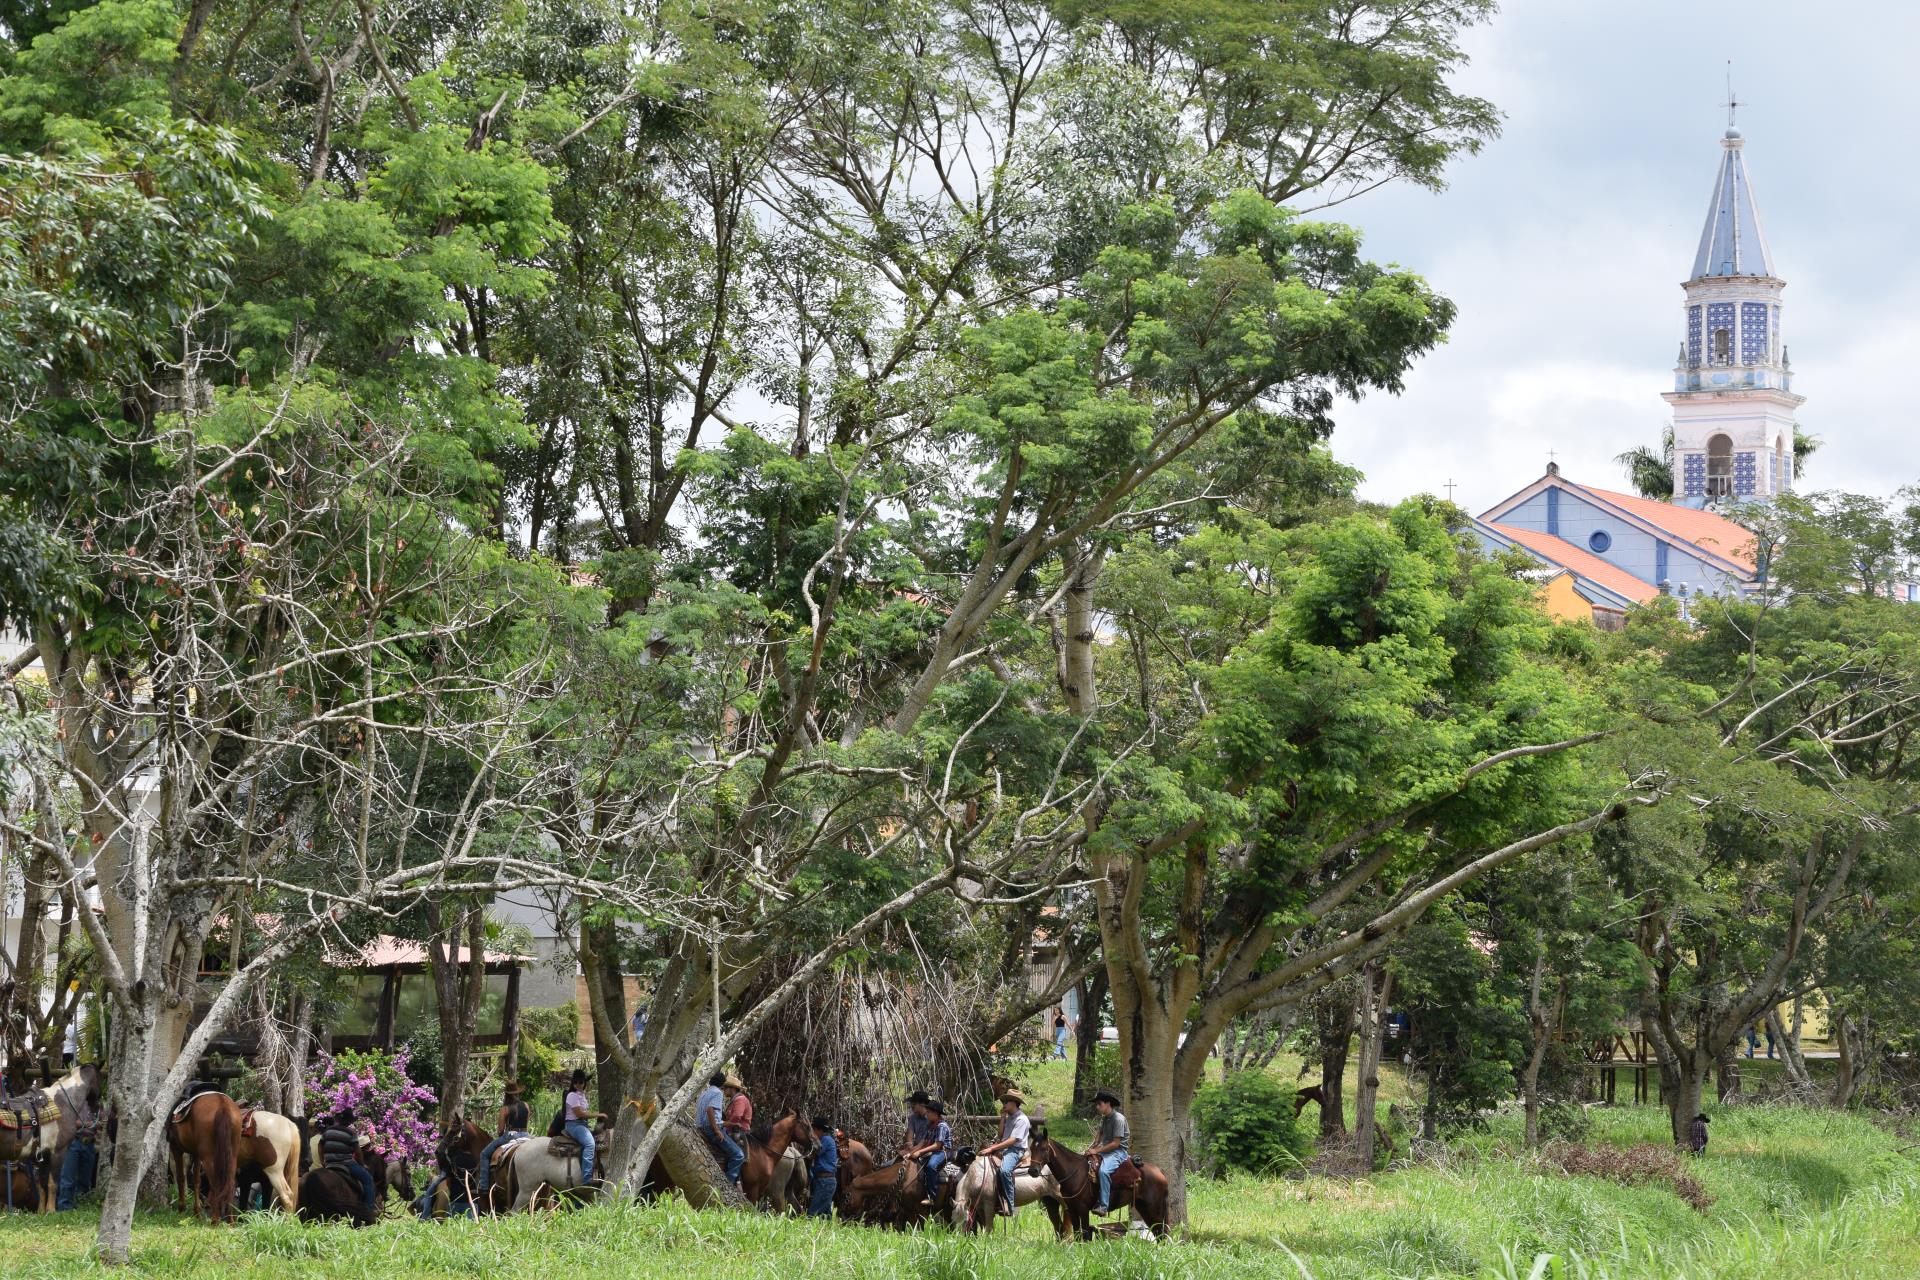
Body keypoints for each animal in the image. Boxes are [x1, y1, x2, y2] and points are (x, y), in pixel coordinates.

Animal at [168, 1090, 243, 1222]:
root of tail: (222, 1105)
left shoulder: (176, 1149)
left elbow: (181, 1178)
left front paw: (182, 1208)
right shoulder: (197, 1155)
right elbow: (197, 1181)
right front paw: (197, 1212)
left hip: (208, 1157)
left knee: (216, 1183)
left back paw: (215, 1220)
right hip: (232, 1156)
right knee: (231, 1183)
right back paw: (230, 1220)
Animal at [1024, 1121, 1170, 1240]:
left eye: (1044, 1149)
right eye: (1031, 1148)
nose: (1033, 1171)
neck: (1074, 1172)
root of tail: (1159, 1171)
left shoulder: (1083, 1209)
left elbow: (1085, 1235)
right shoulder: (1072, 1210)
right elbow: (1077, 1235)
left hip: (1153, 1208)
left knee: (1161, 1234)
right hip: (1144, 1207)